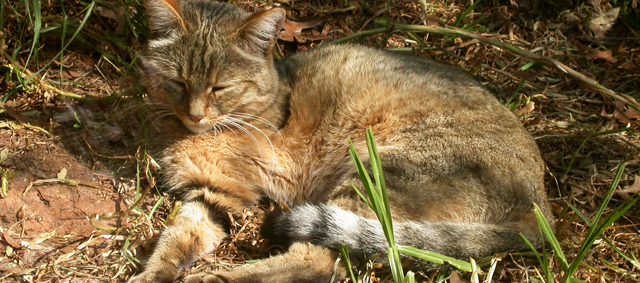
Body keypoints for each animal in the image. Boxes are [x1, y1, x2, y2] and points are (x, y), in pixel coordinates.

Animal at [126, 1, 556, 282]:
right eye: (179, 82)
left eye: (220, 88)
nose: (195, 114)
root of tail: (540, 207)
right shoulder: (213, 192)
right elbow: (176, 238)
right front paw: (153, 274)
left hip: (376, 172)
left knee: (318, 257)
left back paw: (221, 277)